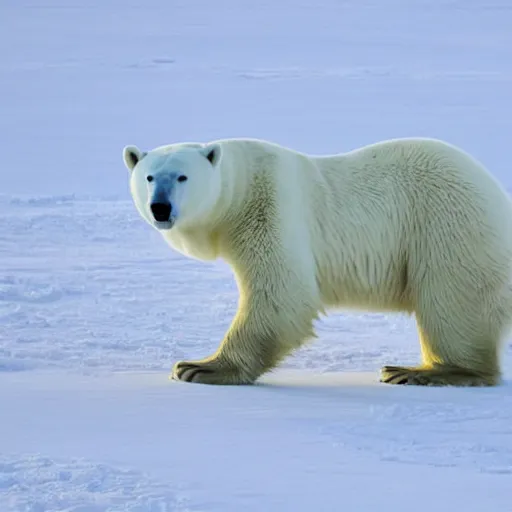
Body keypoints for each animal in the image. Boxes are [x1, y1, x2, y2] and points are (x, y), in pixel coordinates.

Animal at [123, 138, 512, 386]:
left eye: (182, 176)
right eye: (149, 176)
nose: (161, 207)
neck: (240, 191)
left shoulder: (271, 208)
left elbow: (282, 295)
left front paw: (199, 367)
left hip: (449, 224)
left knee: (452, 301)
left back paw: (420, 371)